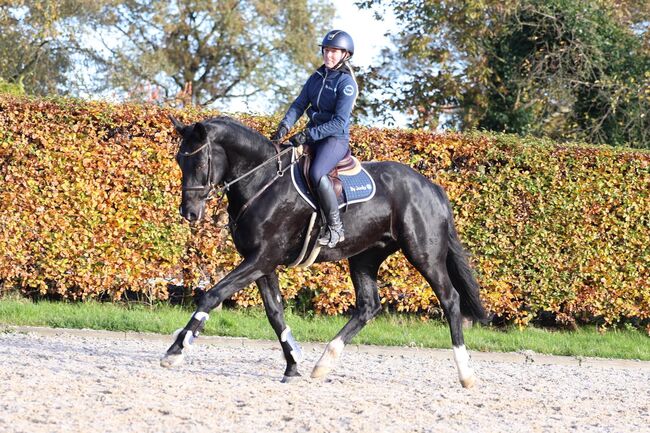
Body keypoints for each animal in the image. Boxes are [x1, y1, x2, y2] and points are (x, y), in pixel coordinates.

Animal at [162, 115, 486, 388]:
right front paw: (293, 364)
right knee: (368, 306)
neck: (263, 181)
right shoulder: (261, 262)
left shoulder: (262, 258)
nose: (189, 213)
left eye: (199, 162)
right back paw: (324, 363)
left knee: (450, 299)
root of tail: (432, 187)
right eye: (179, 161)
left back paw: (466, 373)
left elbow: (212, 294)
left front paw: (176, 349)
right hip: (365, 257)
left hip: (424, 254)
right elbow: (275, 313)